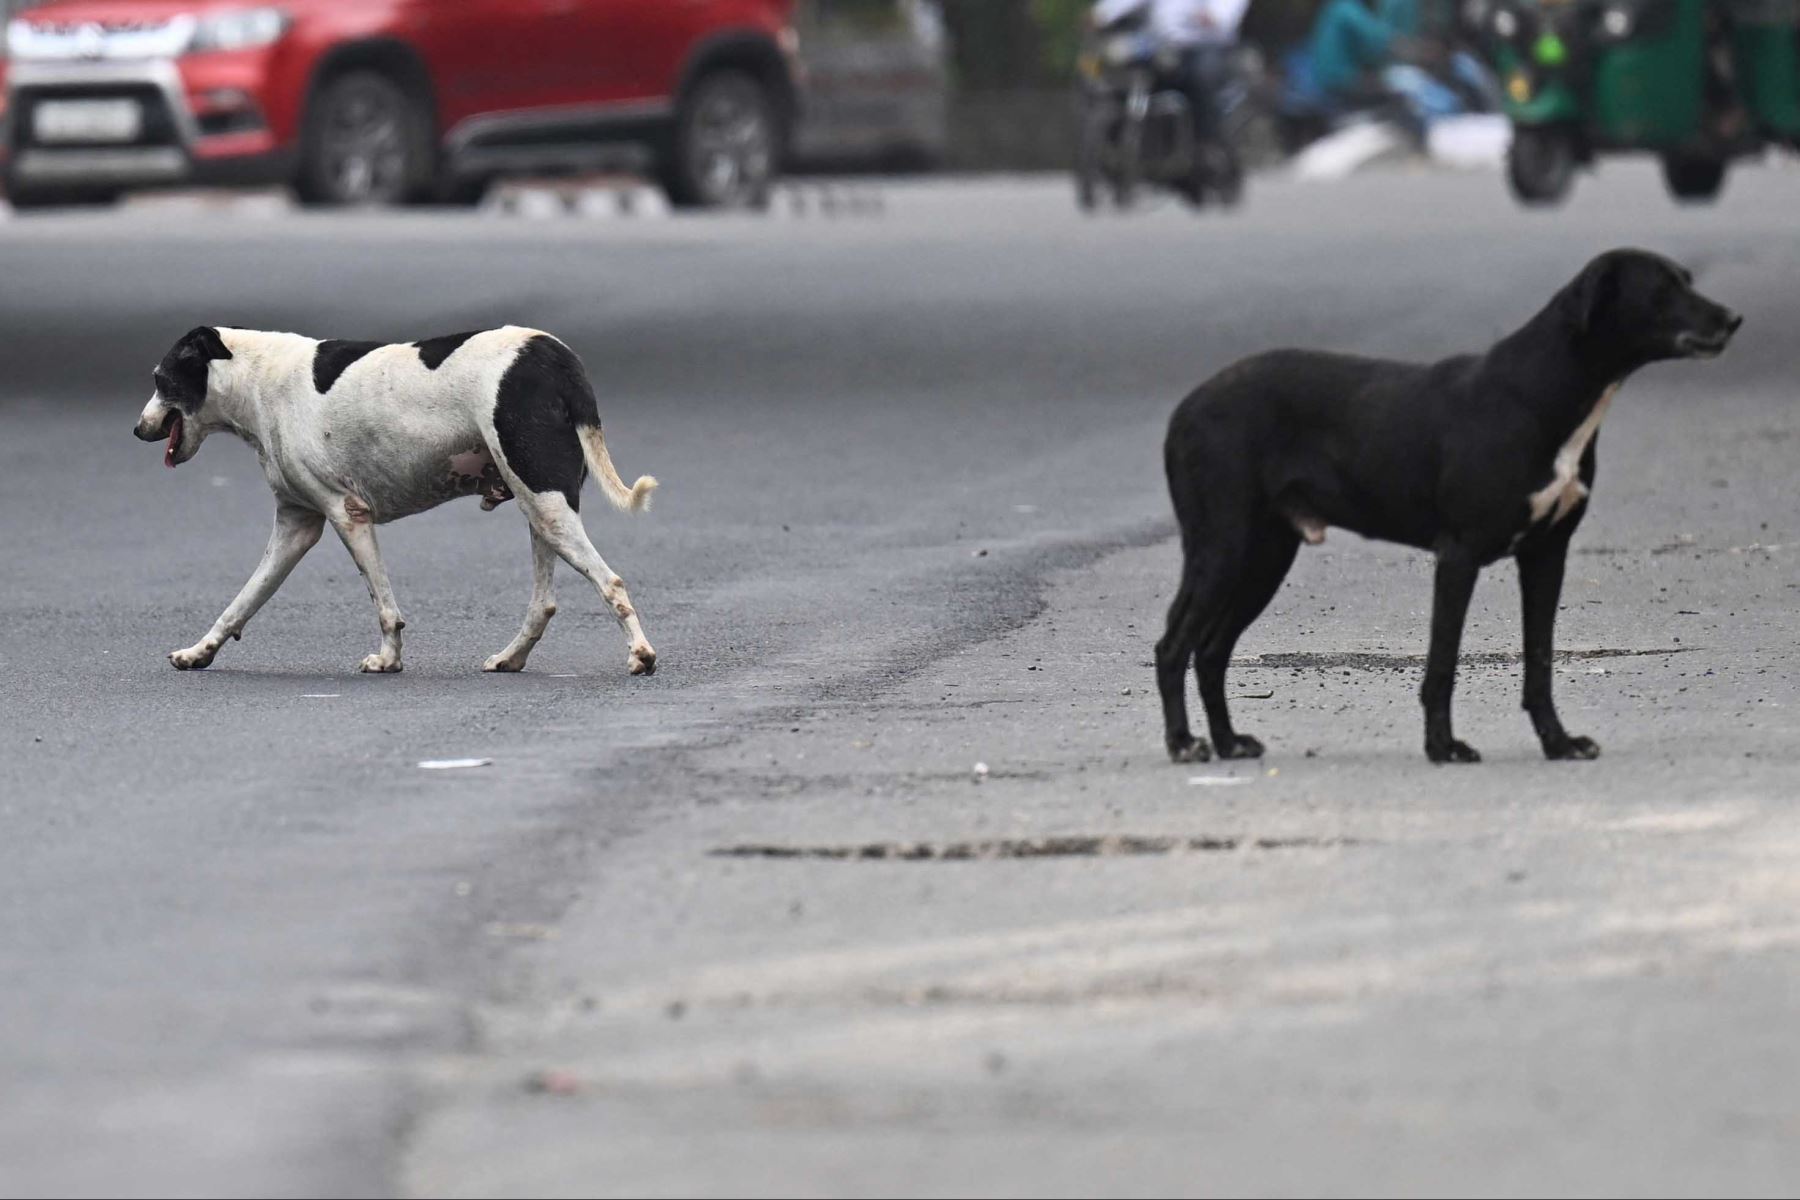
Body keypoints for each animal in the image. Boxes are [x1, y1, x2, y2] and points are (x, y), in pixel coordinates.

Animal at [135, 323, 662, 680]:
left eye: (161, 379)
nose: (138, 429)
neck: (255, 378)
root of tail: (556, 355)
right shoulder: (295, 527)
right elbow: (242, 601)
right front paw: (200, 651)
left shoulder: (348, 514)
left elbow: (384, 604)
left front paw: (389, 658)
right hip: (538, 509)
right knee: (545, 603)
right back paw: (512, 657)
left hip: (546, 505)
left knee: (611, 582)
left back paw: (640, 655)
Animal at [1159, 248, 1735, 766]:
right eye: (1663, 289)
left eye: (1686, 279)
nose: (1733, 319)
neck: (1541, 392)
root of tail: (1185, 408)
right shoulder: (1458, 555)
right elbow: (1442, 663)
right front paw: (1444, 748)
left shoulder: (1547, 555)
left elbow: (1540, 660)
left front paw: (1558, 743)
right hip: (1223, 547)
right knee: (1173, 646)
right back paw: (1184, 744)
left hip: (1266, 557)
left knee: (1210, 651)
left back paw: (1228, 742)